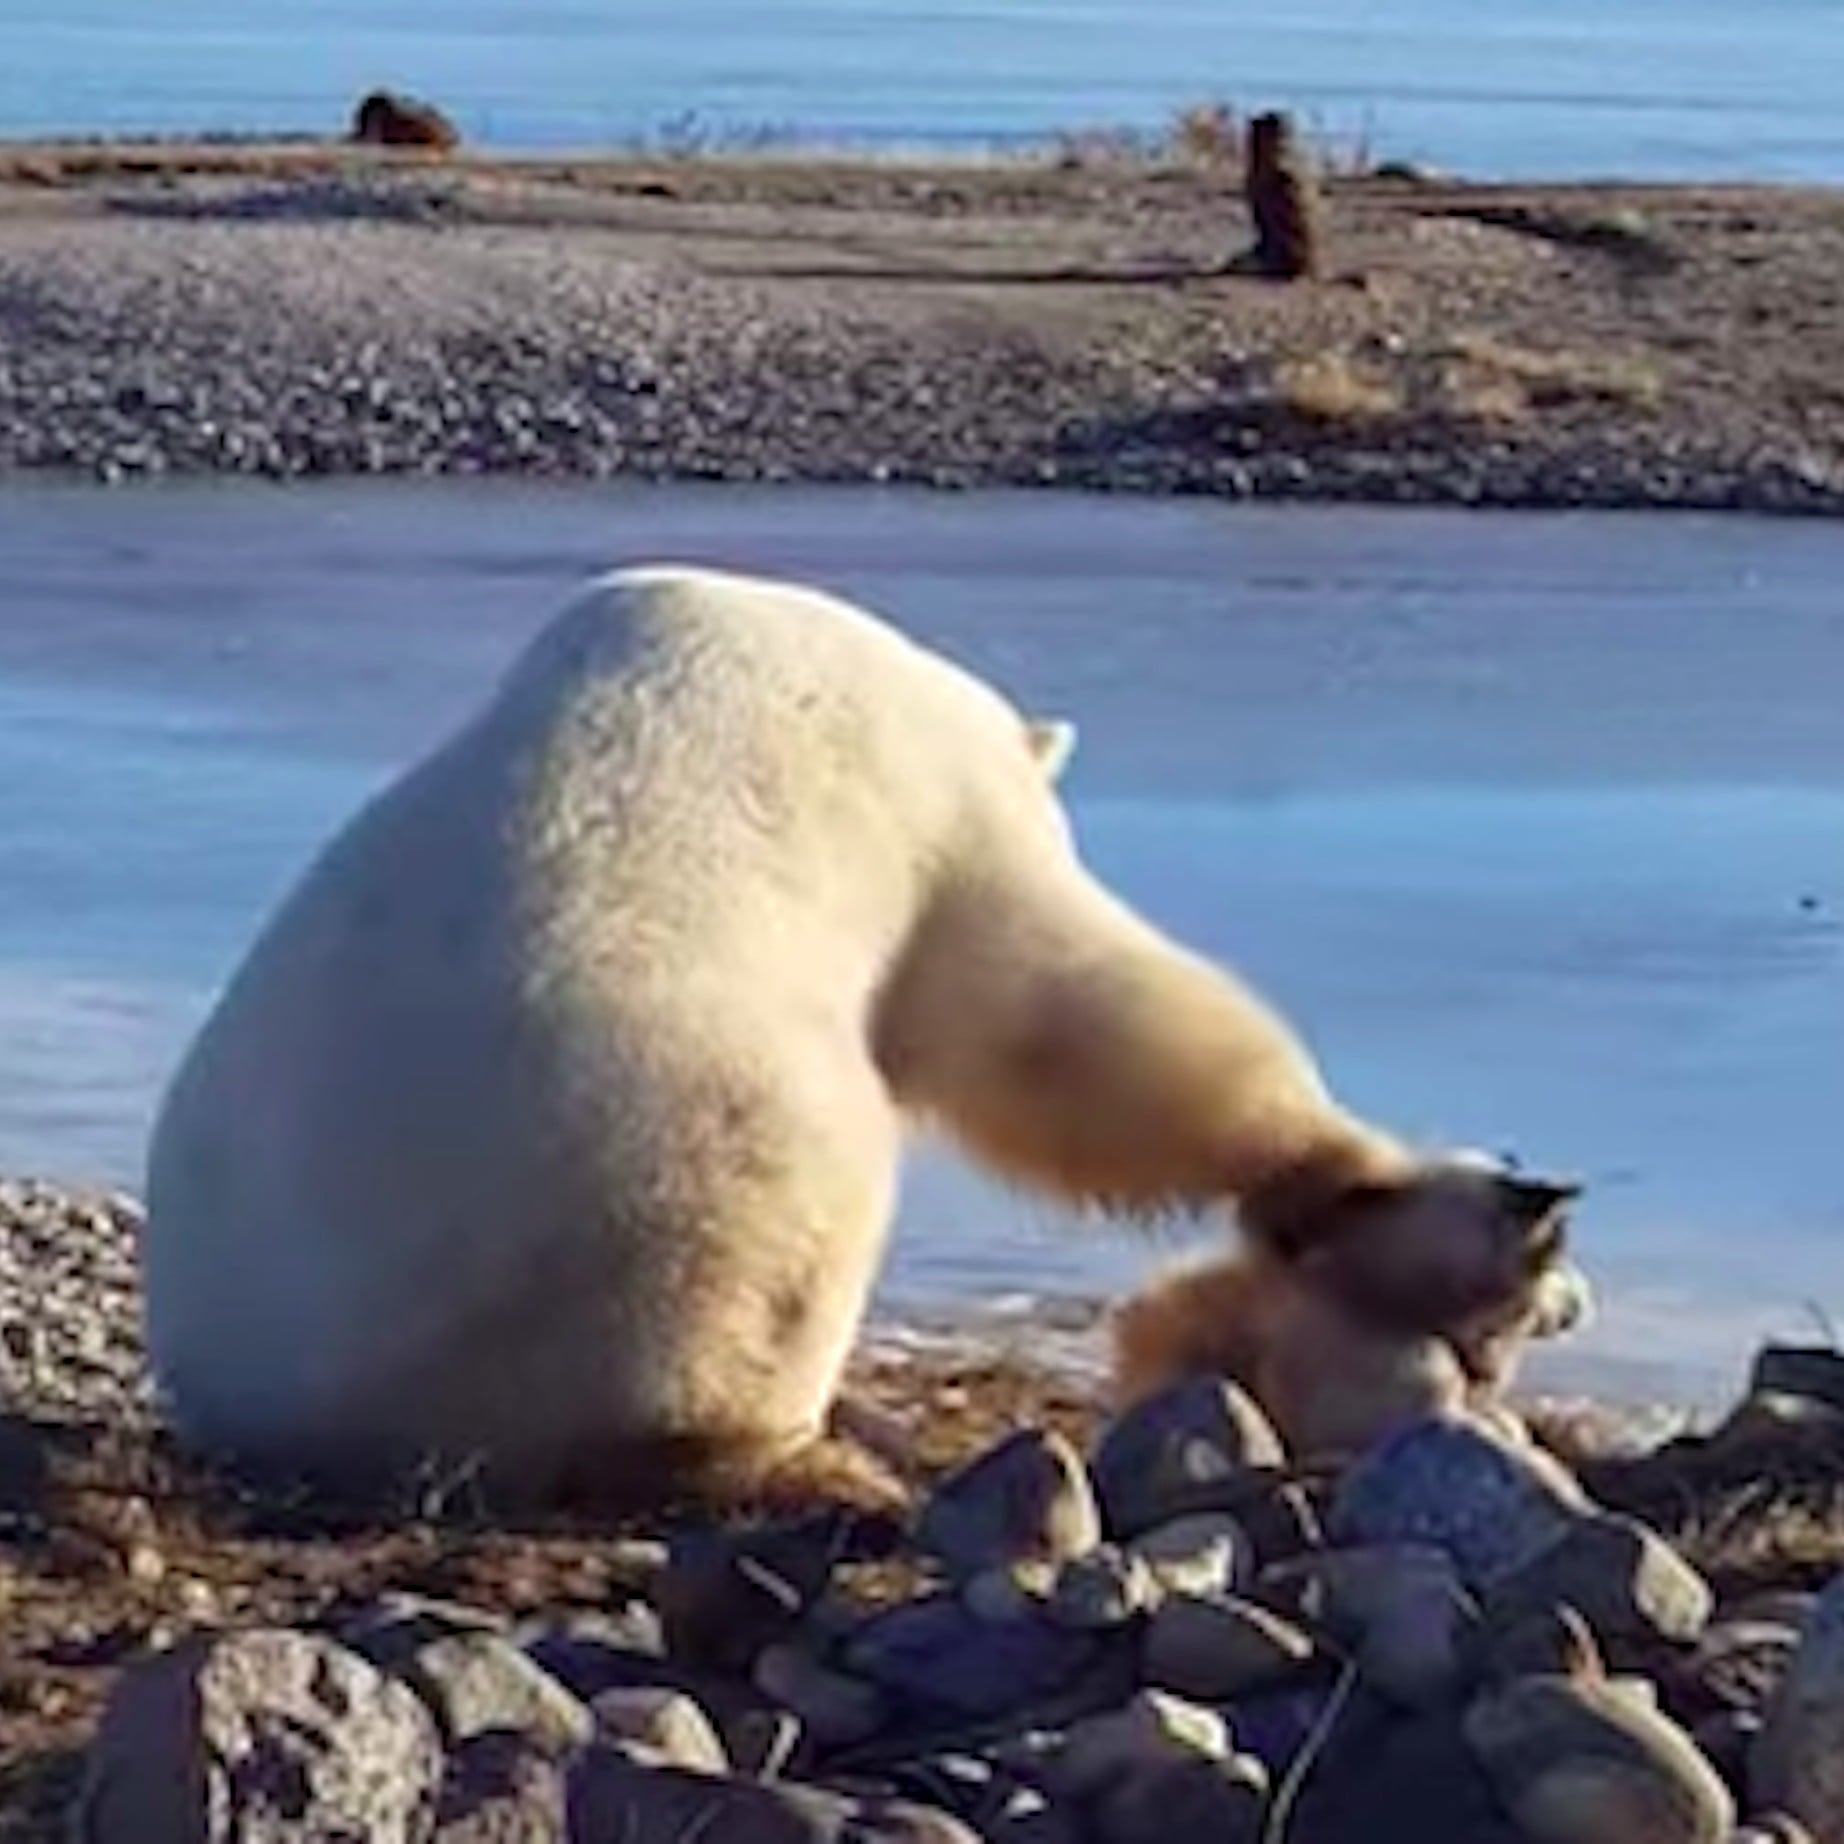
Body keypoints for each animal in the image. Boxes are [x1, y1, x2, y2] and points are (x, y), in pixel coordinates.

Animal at [145, 562, 1550, 1511]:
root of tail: (309, 1407)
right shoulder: (936, 808)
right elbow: (1057, 1012)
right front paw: (1379, 1181)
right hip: (662, 1157)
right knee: (779, 1225)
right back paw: (816, 1452)